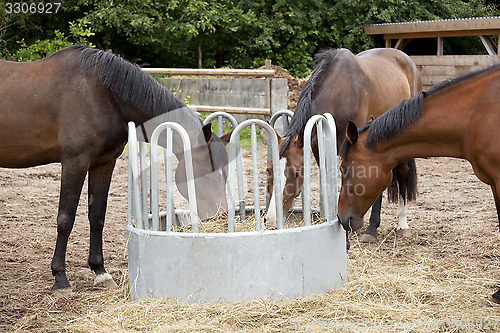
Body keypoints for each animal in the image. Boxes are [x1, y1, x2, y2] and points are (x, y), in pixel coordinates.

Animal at [0, 45, 229, 292]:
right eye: (205, 172)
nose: (223, 214)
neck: (101, 95)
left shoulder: (104, 163)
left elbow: (97, 215)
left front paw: (100, 271)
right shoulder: (74, 162)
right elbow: (65, 218)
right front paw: (60, 277)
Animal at [266, 47, 422, 241]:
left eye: (296, 174)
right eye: (268, 170)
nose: (271, 220)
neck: (340, 91)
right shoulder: (318, 149)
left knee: (402, 174)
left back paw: (396, 225)